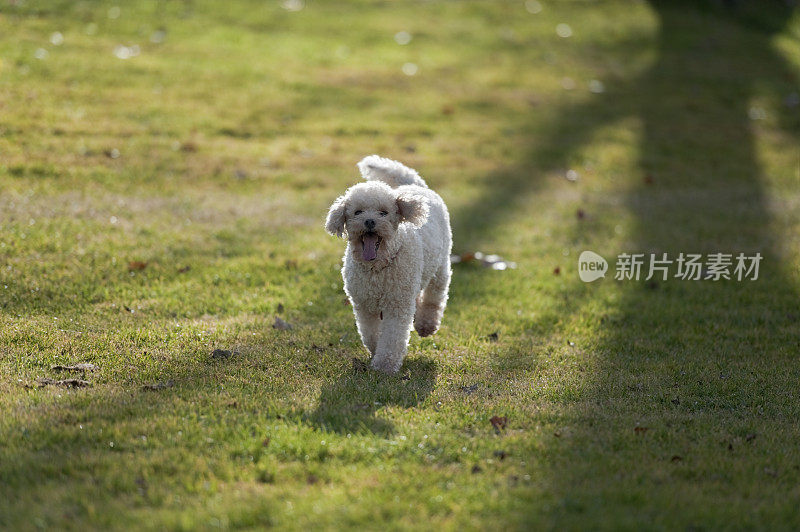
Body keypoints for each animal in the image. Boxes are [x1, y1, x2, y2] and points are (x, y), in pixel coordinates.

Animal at [324, 155, 450, 374]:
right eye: (357, 212)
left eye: (383, 212)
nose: (369, 221)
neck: (378, 267)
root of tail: (415, 185)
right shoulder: (364, 304)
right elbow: (371, 333)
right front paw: (376, 352)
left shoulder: (397, 304)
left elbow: (392, 337)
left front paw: (385, 366)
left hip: (440, 267)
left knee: (434, 296)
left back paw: (426, 324)